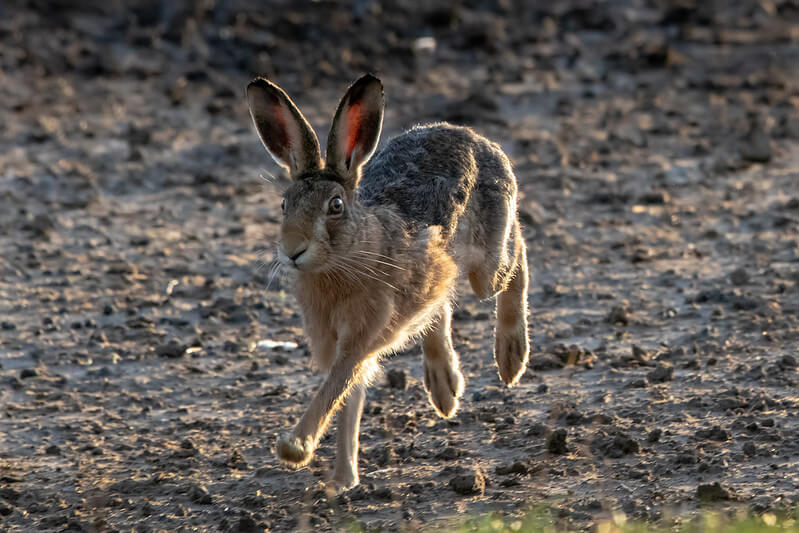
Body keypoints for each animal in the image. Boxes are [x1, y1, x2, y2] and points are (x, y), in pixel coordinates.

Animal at [246, 74, 530, 491]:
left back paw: (510, 358)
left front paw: (295, 448)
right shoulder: (331, 335)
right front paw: (343, 480)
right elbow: (349, 396)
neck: (345, 258)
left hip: (487, 266)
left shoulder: (363, 332)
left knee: (516, 257)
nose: (293, 251)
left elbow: (338, 384)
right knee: (440, 307)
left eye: (335, 206)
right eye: (284, 205)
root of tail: (471, 135)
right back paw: (444, 387)